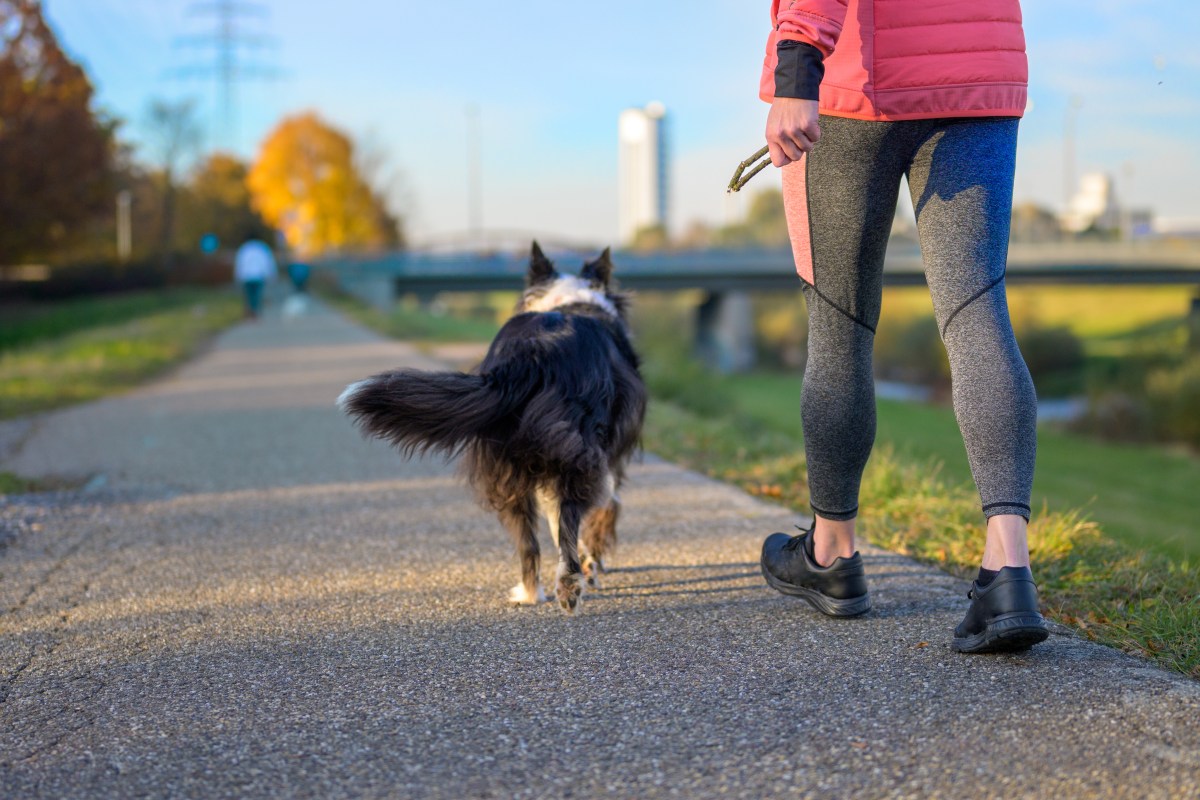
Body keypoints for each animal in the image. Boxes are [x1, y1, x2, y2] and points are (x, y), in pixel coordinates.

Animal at [338, 242, 648, 614]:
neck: (568, 300)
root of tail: (531, 352)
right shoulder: (609, 465)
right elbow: (597, 517)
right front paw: (594, 567)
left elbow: (555, 523)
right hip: (577, 455)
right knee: (569, 521)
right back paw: (569, 588)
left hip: (505, 466)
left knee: (528, 543)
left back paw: (529, 593)